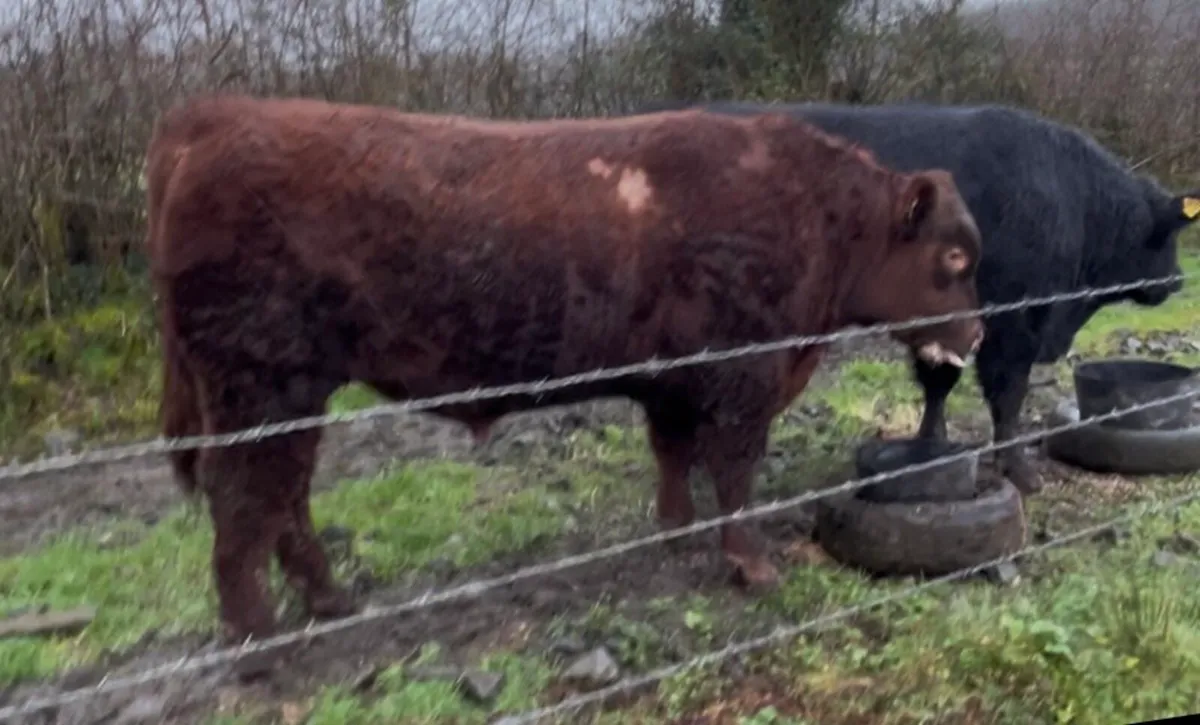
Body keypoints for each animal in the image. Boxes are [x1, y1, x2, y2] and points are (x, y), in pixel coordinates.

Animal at [145, 93, 984, 642]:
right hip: (262, 388)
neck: (810, 211)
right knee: (246, 496)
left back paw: (329, 601)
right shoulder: (742, 382)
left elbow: (674, 458)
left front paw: (675, 535)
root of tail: (215, 116)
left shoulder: (672, 384)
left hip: (287, 397)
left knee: (281, 497)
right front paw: (751, 565)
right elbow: (735, 475)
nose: (976, 335)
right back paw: (256, 633)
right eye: (952, 257)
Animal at [634, 100, 1199, 495]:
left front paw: (931, 445)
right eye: (1169, 234)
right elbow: (1007, 395)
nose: (1176, 281)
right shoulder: (1013, 325)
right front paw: (1018, 470)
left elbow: (939, 384)